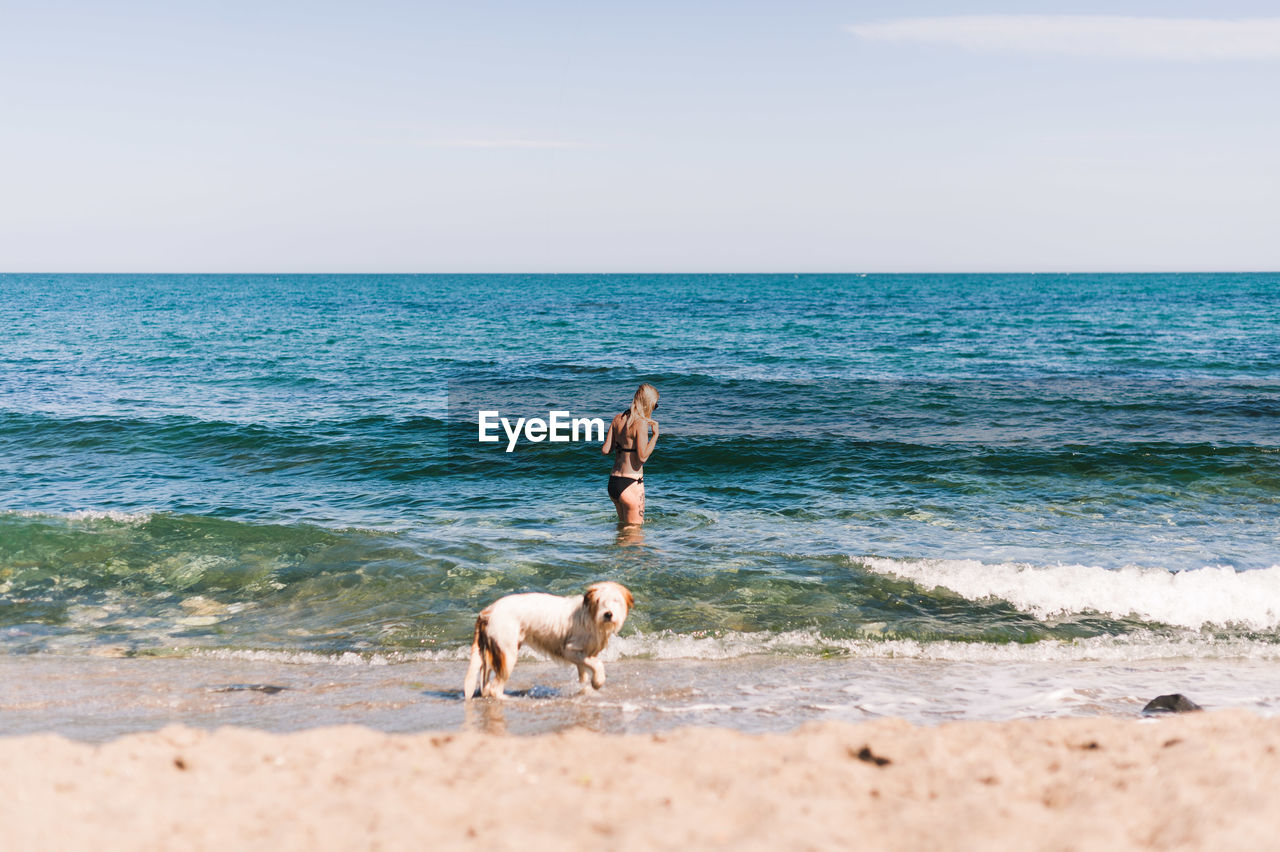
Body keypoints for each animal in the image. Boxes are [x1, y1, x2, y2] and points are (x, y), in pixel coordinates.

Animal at [465, 580, 634, 701]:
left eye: (616, 601)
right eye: (599, 601)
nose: (608, 614)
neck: (590, 617)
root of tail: (487, 611)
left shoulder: (582, 655)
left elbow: (584, 673)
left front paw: (585, 689)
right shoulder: (570, 650)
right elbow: (597, 664)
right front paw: (598, 682)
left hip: (489, 652)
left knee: (485, 685)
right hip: (508, 653)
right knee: (495, 688)